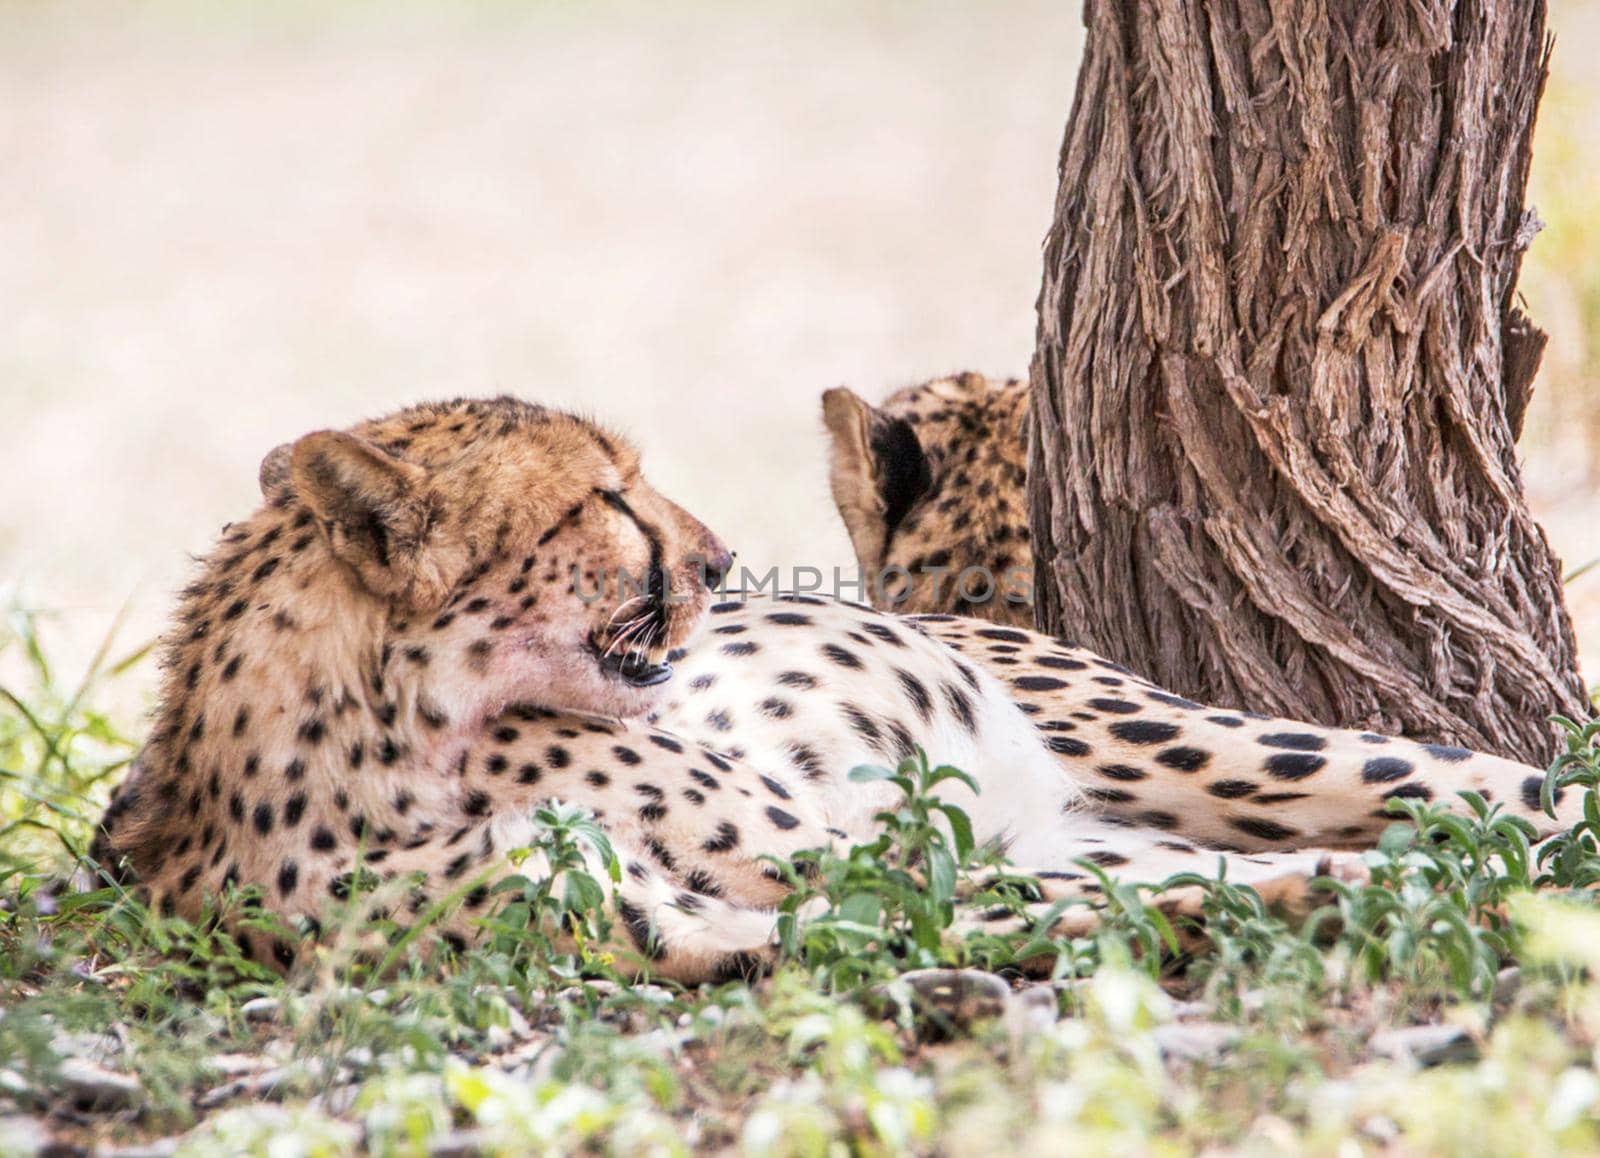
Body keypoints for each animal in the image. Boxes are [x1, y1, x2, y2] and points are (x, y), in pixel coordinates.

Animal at [90, 395, 1574, 978]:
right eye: (605, 497)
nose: (720, 558)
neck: (385, 756)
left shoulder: (862, 852)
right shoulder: (759, 915)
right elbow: (1026, 915)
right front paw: (1326, 901)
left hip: (1178, 743)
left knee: (1505, 784)